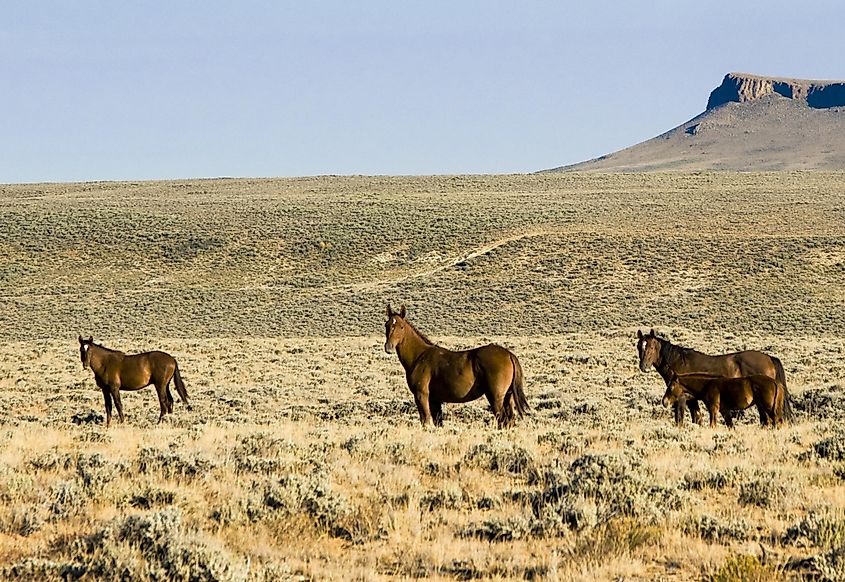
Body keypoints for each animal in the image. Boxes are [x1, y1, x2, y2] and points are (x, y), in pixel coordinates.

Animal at [384, 306, 528, 428]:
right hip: (507, 398)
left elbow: (425, 421)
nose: (388, 347)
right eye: (387, 325)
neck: (419, 356)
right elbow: (438, 422)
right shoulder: (435, 400)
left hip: (496, 397)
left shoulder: (421, 395)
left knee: (502, 420)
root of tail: (508, 354)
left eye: (401, 326)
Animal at [640, 330, 792, 426]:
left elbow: (681, 419)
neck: (679, 362)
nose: (644, 366)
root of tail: (770, 358)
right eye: (638, 346)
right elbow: (697, 419)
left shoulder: (682, 399)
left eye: (652, 347)